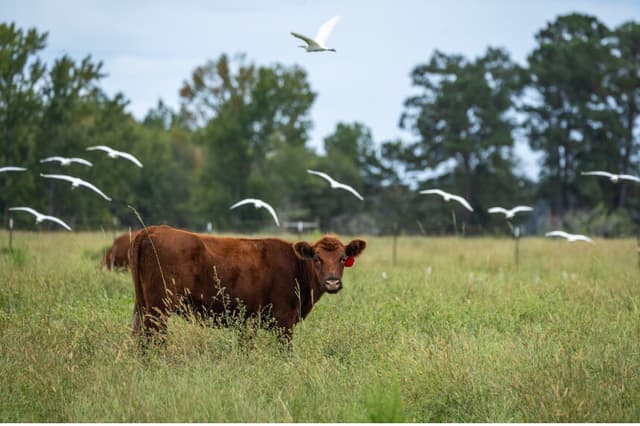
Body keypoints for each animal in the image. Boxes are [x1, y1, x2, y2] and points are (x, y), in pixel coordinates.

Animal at [129, 225, 366, 344]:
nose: (332, 282)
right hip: (159, 307)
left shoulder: (247, 322)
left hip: (142, 305)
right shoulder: (284, 321)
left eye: (343, 258)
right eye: (317, 258)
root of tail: (151, 230)